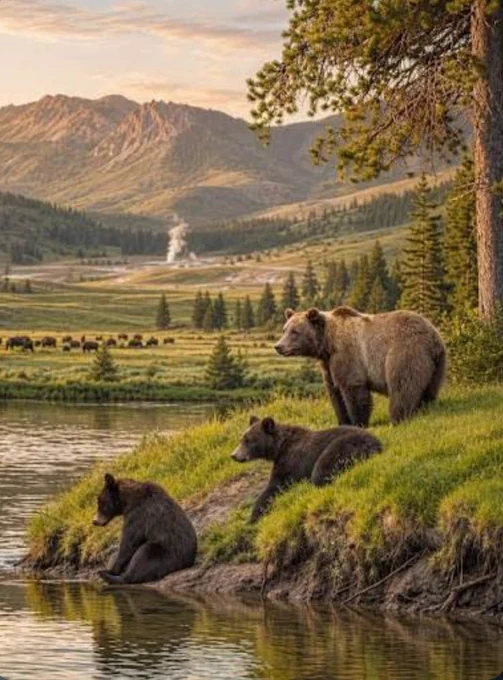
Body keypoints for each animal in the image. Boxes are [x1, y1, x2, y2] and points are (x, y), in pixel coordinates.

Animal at [231, 416, 382, 521]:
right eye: (241, 439)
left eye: (248, 440)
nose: (233, 455)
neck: (279, 448)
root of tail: (377, 444)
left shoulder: (291, 462)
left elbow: (275, 485)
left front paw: (254, 515)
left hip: (344, 446)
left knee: (320, 471)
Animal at [274, 306, 446, 427]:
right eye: (284, 329)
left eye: (295, 331)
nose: (278, 346)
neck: (327, 344)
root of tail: (433, 338)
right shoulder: (329, 364)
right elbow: (335, 394)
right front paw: (343, 421)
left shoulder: (348, 355)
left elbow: (353, 390)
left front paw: (359, 422)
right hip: (436, 364)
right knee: (429, 389)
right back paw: (424, 410)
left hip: (405, 352)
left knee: (403, 385)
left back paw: (398, 418)